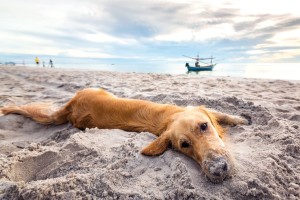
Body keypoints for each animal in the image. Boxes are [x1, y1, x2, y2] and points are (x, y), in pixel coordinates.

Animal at [1, 88, 247, 184]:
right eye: (184, 145)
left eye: (204, 127)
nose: (217, 170)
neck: (169, 118)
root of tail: (70, 106)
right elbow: (220, 112)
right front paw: (241, 118)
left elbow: (220, 113)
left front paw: (240, 119)